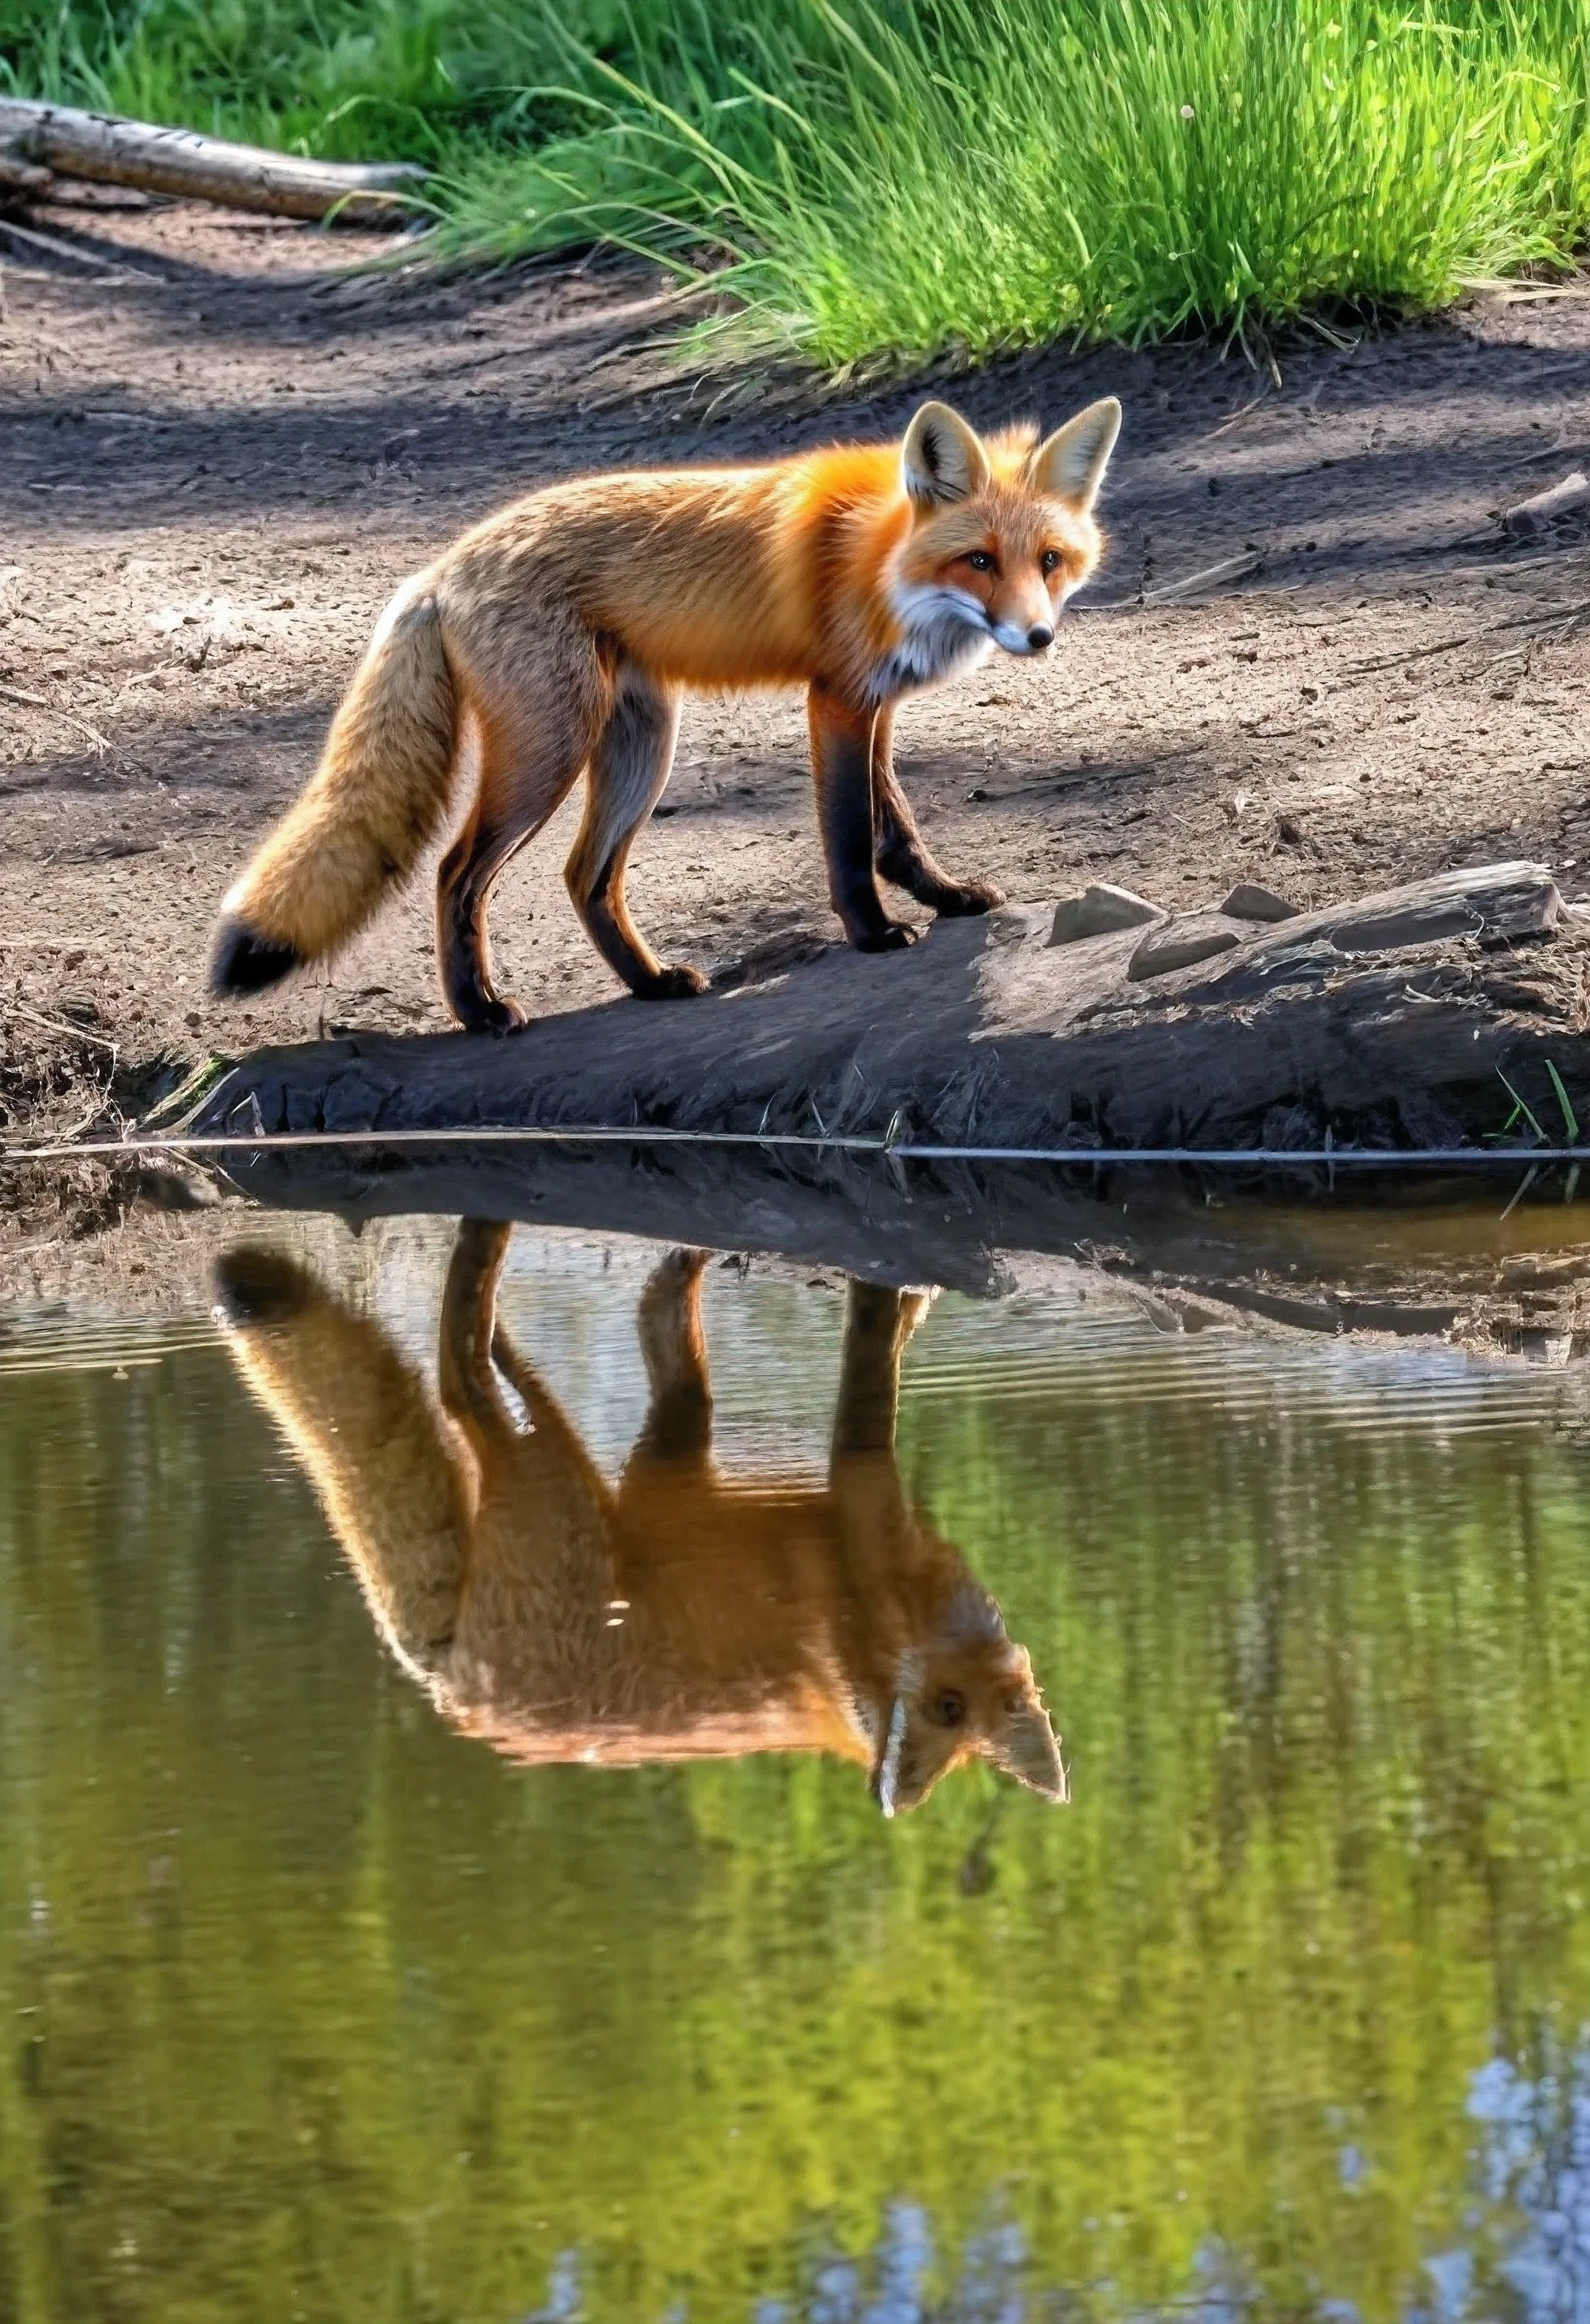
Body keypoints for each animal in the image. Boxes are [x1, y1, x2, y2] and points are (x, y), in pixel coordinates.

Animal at [208, 1227, 1055, 1803]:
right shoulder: (854, 1491)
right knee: (459, 1379)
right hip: (561, 1490)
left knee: (482, 1381)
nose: (892, 1782)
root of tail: (448, 1694)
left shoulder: (685, 1458)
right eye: (945, 1708)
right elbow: (873, 1360)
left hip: (590, 1476)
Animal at [211, 394, 1115, 1031]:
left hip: (641, 746)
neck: (881, 558)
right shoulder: (836, 700)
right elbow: (850, 837)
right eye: (979, 561)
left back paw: (647, 984)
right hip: (551, 750)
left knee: (585, 876)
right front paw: (872, 932)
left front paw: (944, 897)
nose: (1036, 636)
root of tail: (438, 569)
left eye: (1048, 560)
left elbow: (897, 829)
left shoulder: (875, 702)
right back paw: (478, 1011)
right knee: (456, 871)